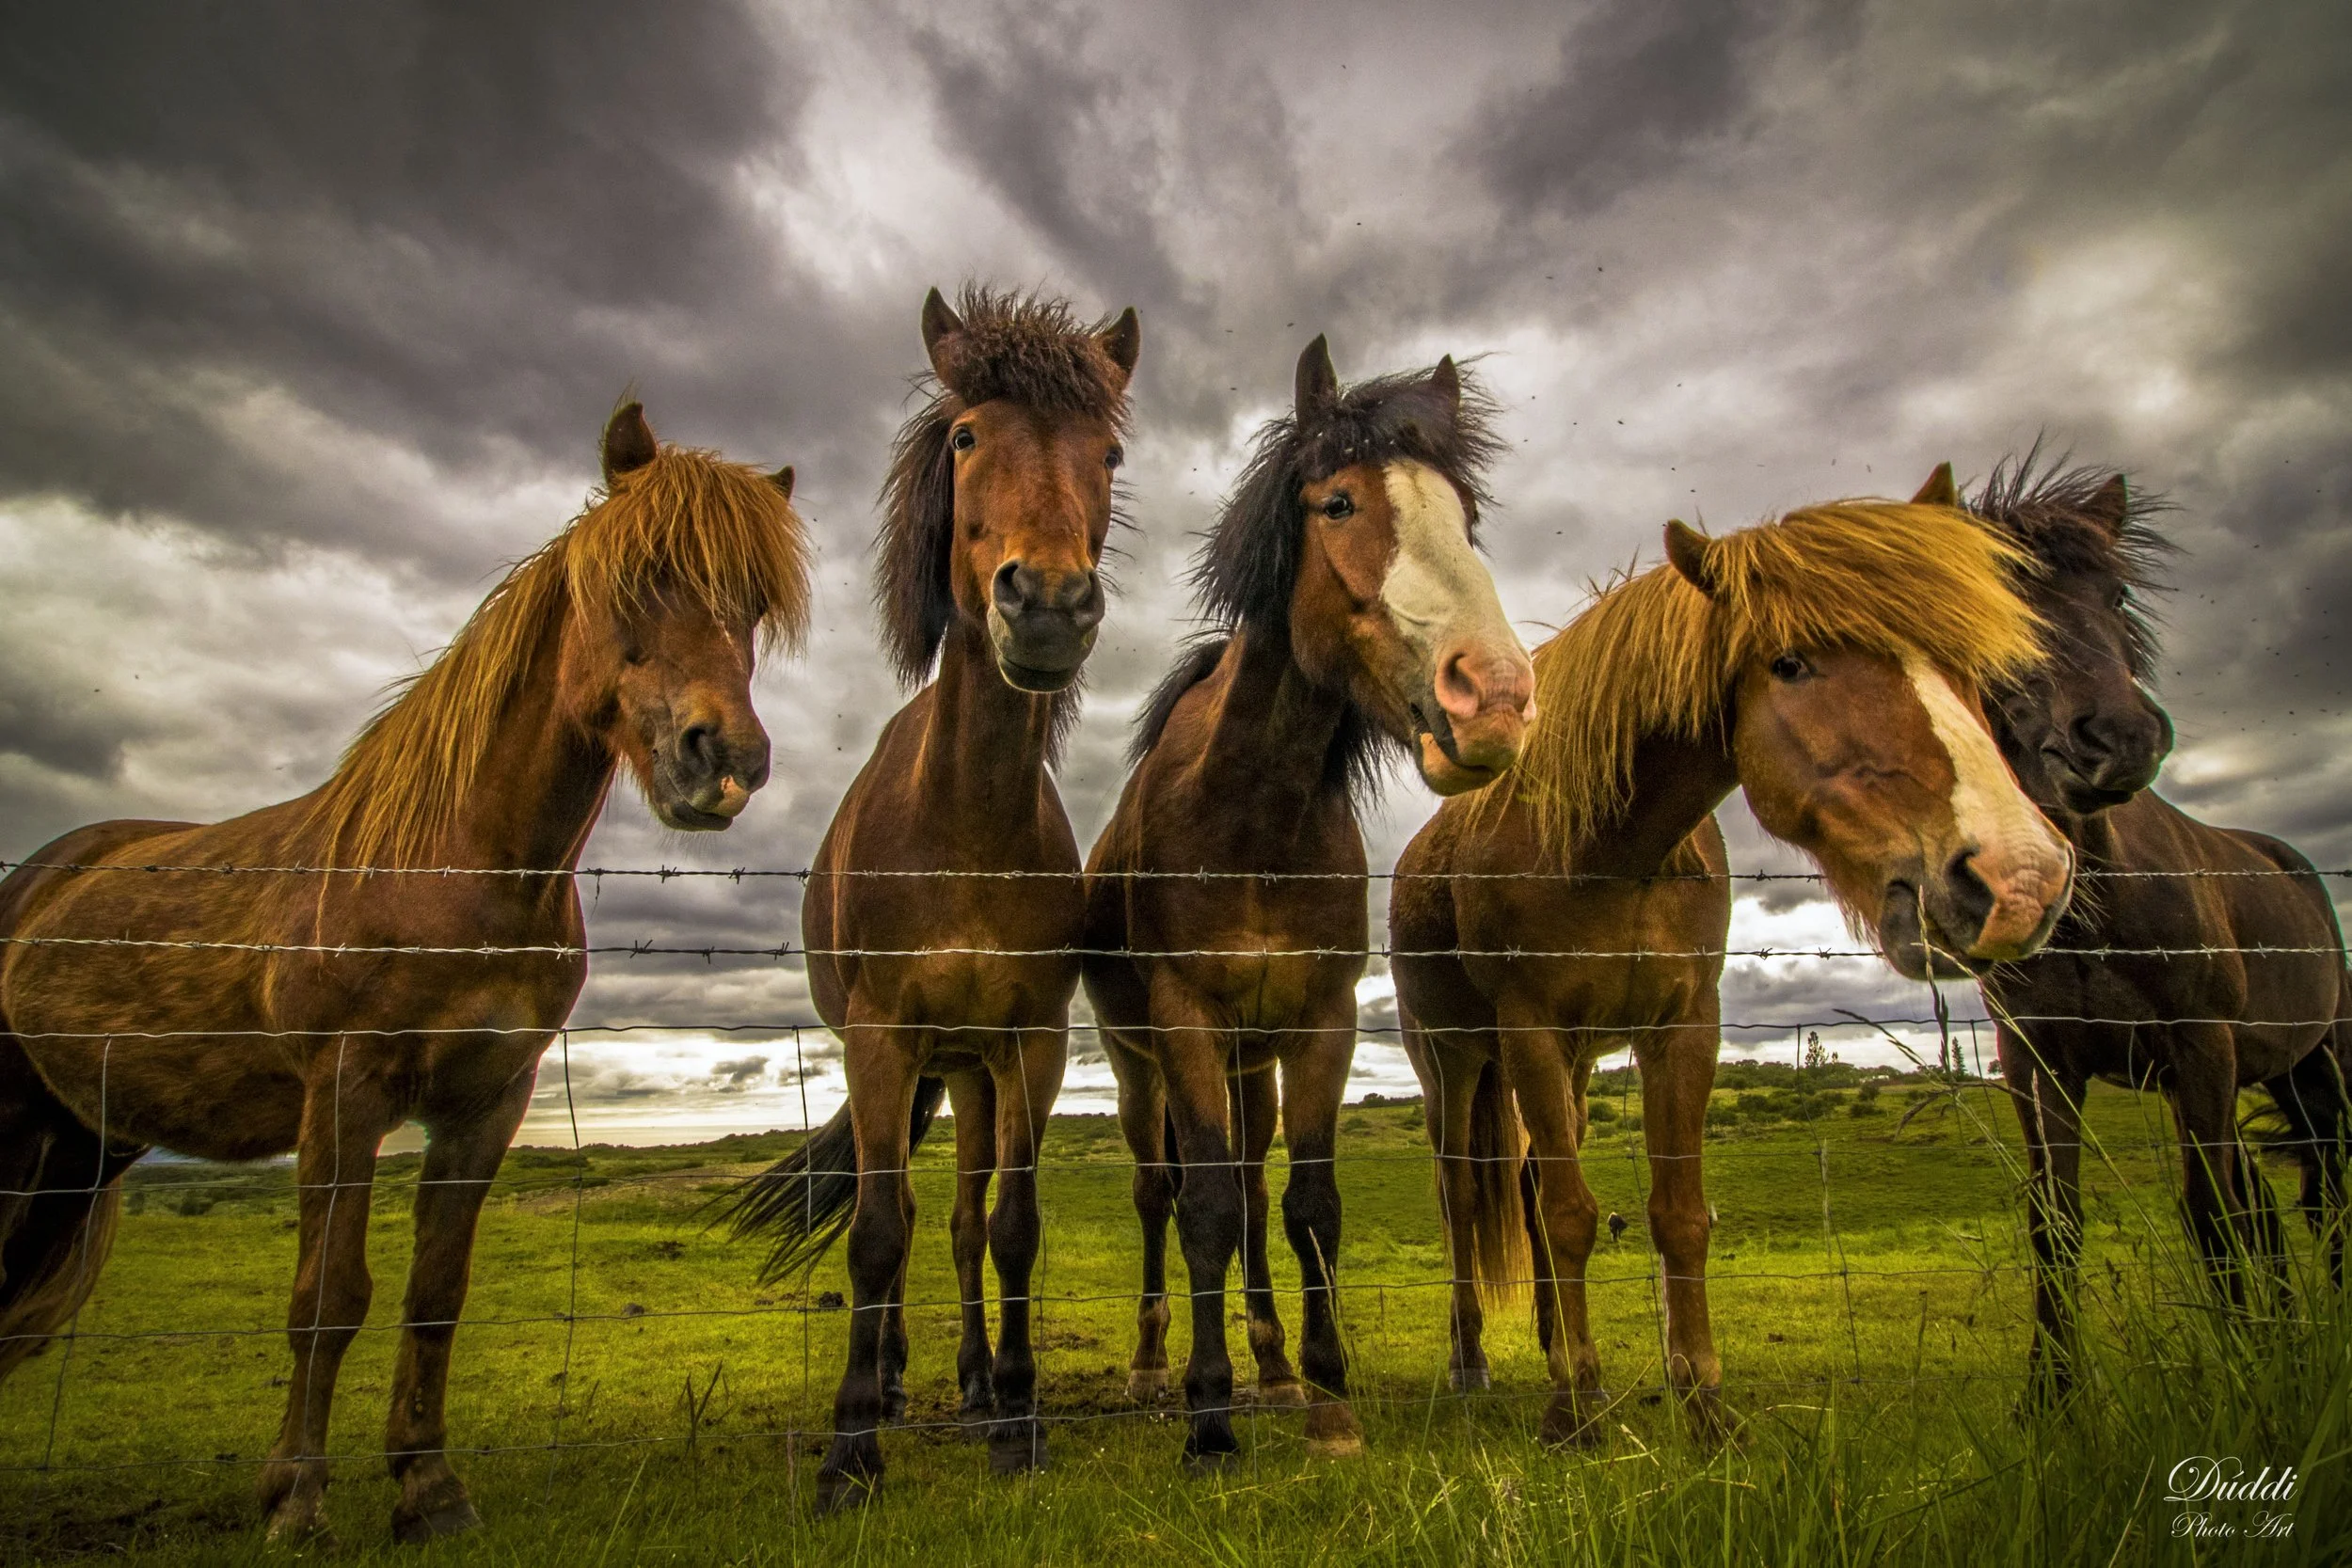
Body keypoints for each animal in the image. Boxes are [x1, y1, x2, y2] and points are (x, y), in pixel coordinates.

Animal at [0, 403, 810, 1545]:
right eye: (634, 576)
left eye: (753, 606)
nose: (724, 758)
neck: (460, 867)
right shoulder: (345, 1089)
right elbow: (328, 1294)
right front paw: (296, 1496)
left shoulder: (489, 1097)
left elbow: (437, 1290)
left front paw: (429, 1486)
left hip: (83, 1138)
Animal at [720, 286, 1139, 1511]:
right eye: (962, 436)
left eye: (1108, 451)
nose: (1046, 605)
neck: (964, 825)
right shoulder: (879, 1040)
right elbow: (873, 1234)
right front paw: (851, 1446)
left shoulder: (1027, 1044)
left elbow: (1008, 1225)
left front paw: (1018, 1417)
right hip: (914, 1066)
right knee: (898, 1216)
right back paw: (899, 1378)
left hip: (966, 1072)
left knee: (953, 1222)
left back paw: (973, 1378)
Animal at [1081, 337, 1535, 1470]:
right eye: (1337, 502)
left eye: (1465, 517)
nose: (1497, 697)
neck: (1252, 813)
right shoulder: (1186, 1021)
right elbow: (1200, 1207)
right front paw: (1206, 1414)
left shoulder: (1319, 1021)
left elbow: (1306, 1203)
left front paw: (1327, 1396)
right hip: (1138, 1059)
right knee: (1160, 1192)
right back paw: (1154, 1365)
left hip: (1252, 1062)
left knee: (1249, 1186)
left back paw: (1276, 1367)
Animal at [1389, 476, 2077, 1446]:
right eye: (1789, 663)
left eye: (1961, 669)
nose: (2020, 879)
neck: (1611, 847)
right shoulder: (1530, 1027)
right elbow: (1568, 1215)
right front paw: (1575, 1411)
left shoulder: (1683, 1027)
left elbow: (1676, 1215)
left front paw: (1701, 1403)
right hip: (1451, 1061)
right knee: (1460, 1199)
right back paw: (1474, 1362)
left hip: (1568, 1068)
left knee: (1522, 1183)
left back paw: (1559, 1343)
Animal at [1959, 453, 2352, 1404]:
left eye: (2119, 593)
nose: (2120, 737)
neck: (2092, 908)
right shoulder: (2038, 1061)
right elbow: (2055, 1221)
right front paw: (2052, 1400)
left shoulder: (2199, 1041)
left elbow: (2208, 1214)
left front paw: (2245, 1380)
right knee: (2277, 1206)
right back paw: (2291, 1343)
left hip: (2319, 1061)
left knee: (2323, 1194)